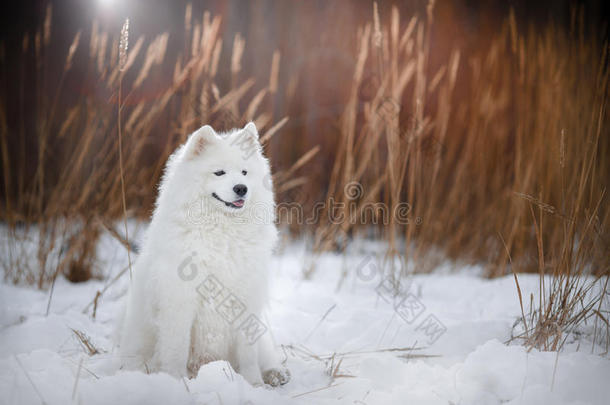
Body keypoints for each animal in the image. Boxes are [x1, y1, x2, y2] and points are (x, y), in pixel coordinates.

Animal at [120, 122, 290, 386]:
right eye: (219, 173)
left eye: (244, 173)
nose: (241, 188)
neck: (222, 232)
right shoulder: (179, 302)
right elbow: (176, 350)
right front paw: (175, 382)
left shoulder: (246, 299)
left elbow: (248, 354)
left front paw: (253, 384)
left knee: (265, 356)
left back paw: (275, 374)